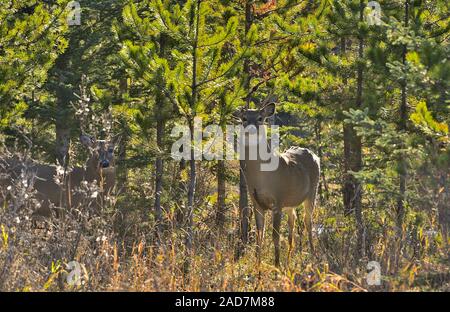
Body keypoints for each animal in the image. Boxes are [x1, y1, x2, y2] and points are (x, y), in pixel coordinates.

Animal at [234, 103, 322, 268]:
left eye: (260, 118)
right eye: (244, 118)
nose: (251, 129)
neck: (261, 177)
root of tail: (314, 154)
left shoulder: (278, 200)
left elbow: (275, 235)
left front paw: (276, 265)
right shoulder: (256, 202)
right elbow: (259, 234)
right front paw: (257, 264)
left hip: (312, 192)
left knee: (308, 222)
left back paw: (313, 257)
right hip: (290, 203)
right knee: (292, 221)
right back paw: (289, 259)